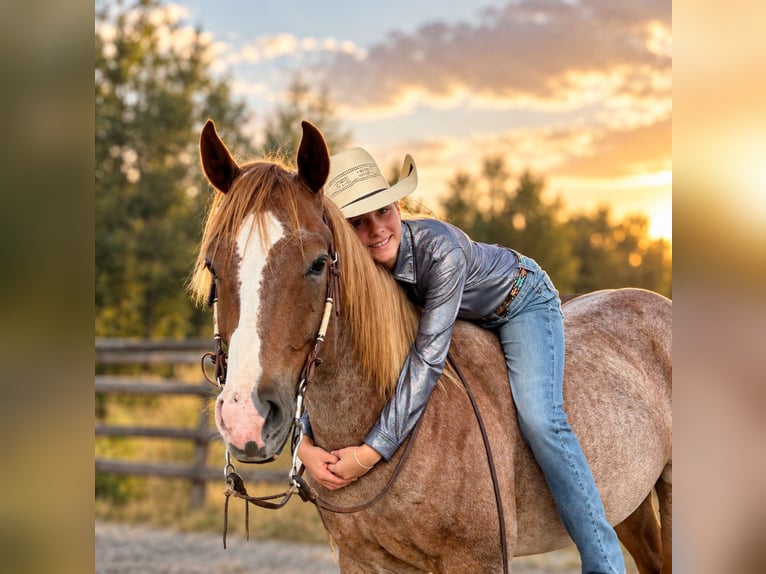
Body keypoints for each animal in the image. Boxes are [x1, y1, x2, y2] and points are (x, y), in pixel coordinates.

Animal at [190, 119, 673, 574]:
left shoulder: (478, 559)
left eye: (318, 263)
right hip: (629, 506)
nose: (247, 419)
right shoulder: (360, 559)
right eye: (213, 265)